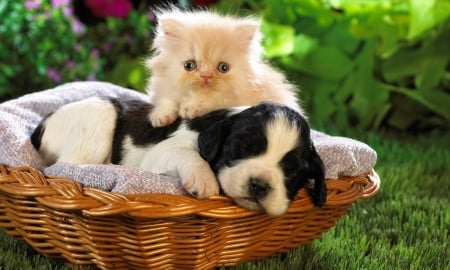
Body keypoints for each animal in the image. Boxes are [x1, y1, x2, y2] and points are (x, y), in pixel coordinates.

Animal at [32, 97, 326, 215]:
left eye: (292, 171)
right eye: (241, 149)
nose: (259, 184)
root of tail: (41, 124)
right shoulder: (164, 151)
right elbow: (189, 155)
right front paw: (204, 180)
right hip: (98, 117)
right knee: (66, 166)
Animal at [147, 7, 302, 126]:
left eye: (223, 68)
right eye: (189, 65)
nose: (205, 76)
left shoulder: (238, 100)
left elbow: (215, 99)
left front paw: (191, 107)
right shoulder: (164, 87)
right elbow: (167, 98)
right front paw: (160, 116)